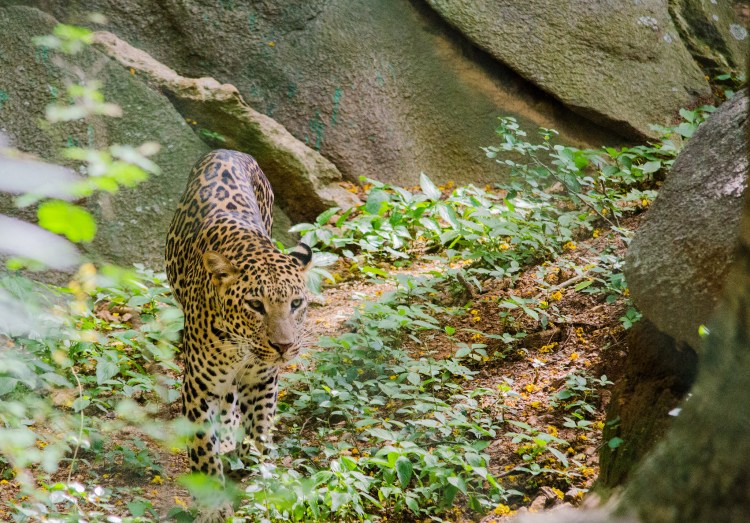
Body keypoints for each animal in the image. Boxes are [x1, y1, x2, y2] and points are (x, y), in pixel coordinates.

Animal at [165, 149, 312, 522]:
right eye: (255, 305)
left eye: (296, 303)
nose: (283, 347)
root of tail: (229, 150)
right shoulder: (198, 388)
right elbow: (203, 450)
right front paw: (214, 505)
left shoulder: (262, 379)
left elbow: (260, 429)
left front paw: (257, 473)